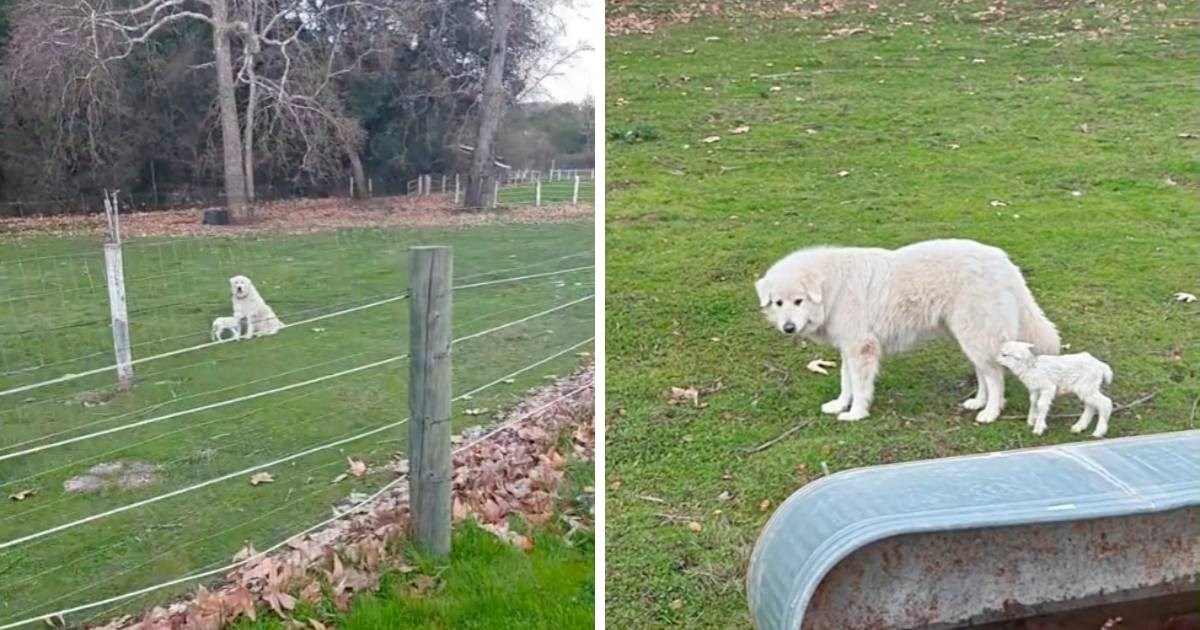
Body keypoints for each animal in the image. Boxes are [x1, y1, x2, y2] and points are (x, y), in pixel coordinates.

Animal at [758, 238, 1060, 420]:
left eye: (799, 301)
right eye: (778, 303)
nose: (788, 328)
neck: (832, 287)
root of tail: (1004, 261)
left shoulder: (861, 348)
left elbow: (859, 385)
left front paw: (856, 413)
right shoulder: (849, 348)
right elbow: (846, 381)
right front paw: (840, 405)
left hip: (977, 333)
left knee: (995, 375)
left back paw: (991, 412)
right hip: (969, 336)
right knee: (984, 372)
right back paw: (978, 402)